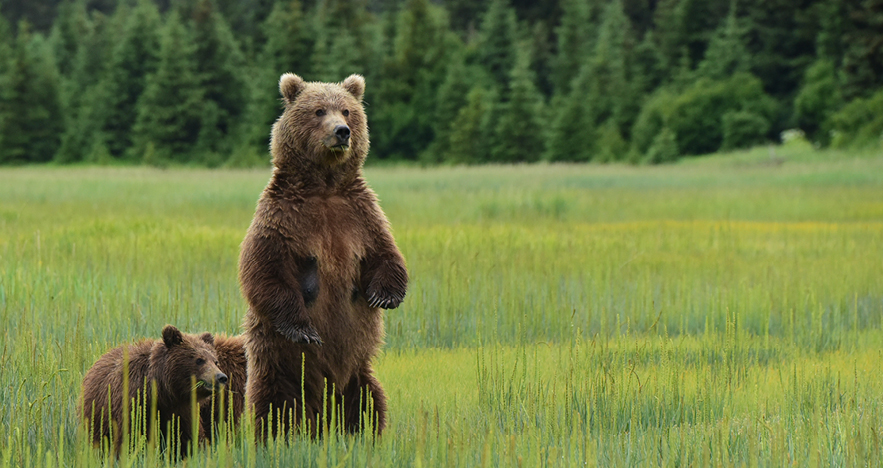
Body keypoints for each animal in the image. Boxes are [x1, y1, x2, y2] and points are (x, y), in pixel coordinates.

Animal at [80, 326, 228, 458]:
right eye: (199, 360)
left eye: (216, 361)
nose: (221, 377)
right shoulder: (134, 403)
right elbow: (130, 436)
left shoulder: (182, 411)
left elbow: (187, 438)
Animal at [240, 73, 410, 438]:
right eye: (318, 111)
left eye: (346, 110)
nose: (342, 131)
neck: (325, 186)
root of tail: (323, 409)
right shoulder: (282, 217)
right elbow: (265, 270)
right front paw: (305, 329)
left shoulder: (360, 214)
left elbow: (385, 253)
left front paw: (385, 295)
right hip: (279, 364)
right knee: (275, 404)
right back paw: (280, 437)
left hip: (359, 373)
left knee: (369, 401)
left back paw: (362, 434)